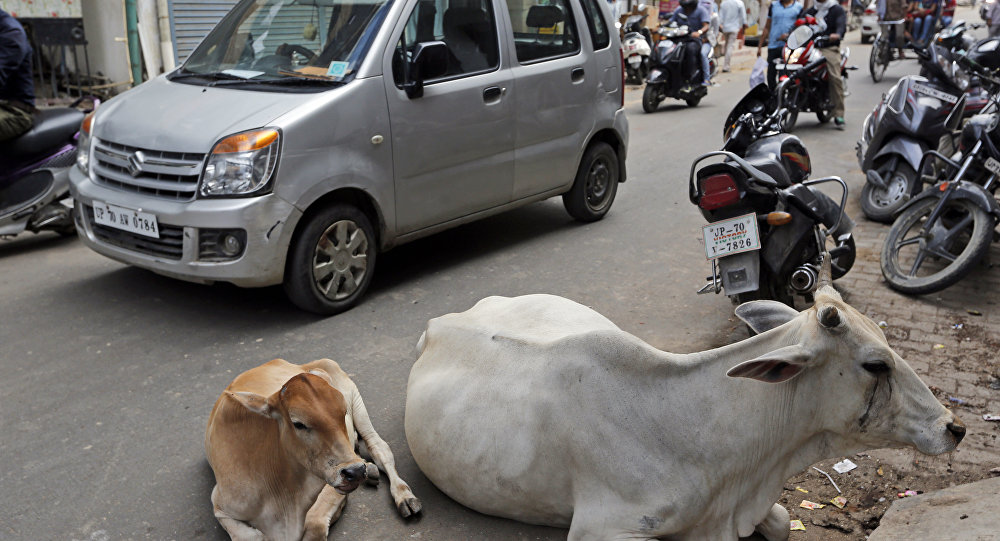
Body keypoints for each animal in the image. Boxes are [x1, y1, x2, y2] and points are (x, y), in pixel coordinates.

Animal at [207, 358, 418, 540]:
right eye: (298, 423)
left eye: (343, 412)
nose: (356, 471)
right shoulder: (220, 505)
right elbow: (250, 536)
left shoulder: (329, 482)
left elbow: (315, 524)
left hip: (356, 401)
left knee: (380, 448)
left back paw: (404, 496)